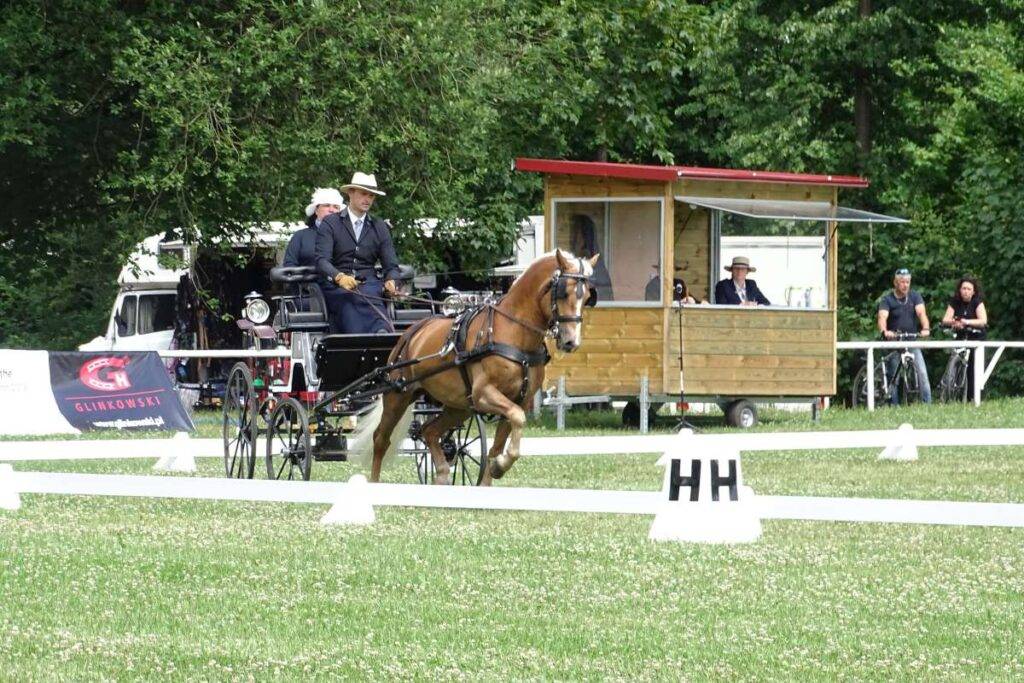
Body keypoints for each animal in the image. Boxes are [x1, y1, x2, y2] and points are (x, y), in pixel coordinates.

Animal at [368, 249, 598, 485]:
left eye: (588, 297)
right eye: (563, 293)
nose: (571, 341)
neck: (514, 333)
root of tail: (412, 331)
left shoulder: (519, 400)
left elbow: (497, 447)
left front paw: (494, 471)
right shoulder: (483, 394)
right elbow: (517, 418)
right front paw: (500, 467)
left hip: (459, 406)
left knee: (429, 431)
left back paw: (442, 474)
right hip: (398, 396)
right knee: (381, 439)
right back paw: (375, 482)